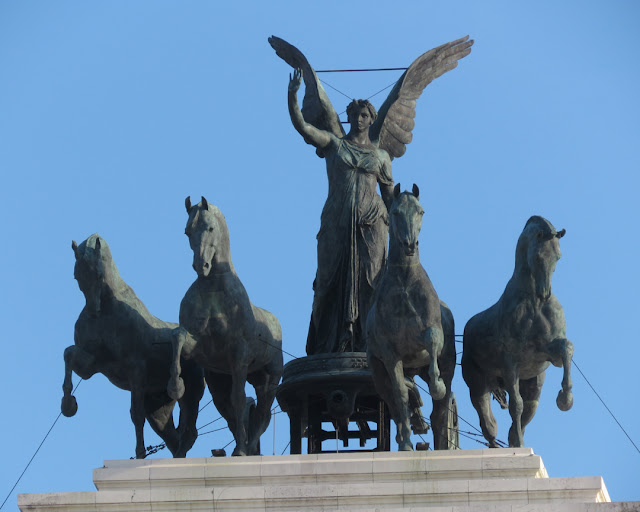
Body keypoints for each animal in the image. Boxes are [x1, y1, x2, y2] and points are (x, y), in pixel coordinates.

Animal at [168, 196, 282, 456]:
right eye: (187, 231)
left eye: (210, 228)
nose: (201, 265)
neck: (213, 288)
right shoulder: (200, 348)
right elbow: (178, 337)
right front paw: (175, 385)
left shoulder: (239, 355)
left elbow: (239, 399)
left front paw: (240, 450)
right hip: (220, 381)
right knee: (230, 409)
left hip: (269, 382)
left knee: (261, 413)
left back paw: (247, 447)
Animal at [462, 216, 572, 448]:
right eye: (538, 256)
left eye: (558, 257)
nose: (545, 293)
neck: (533, 302)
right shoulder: (510, 363)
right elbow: (515, 405)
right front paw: (520, 444)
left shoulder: (550, 352)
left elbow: (567, 348)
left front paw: (565, 399)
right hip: (478, 386)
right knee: (488, 422)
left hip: (533, 387)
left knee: (526, 411)